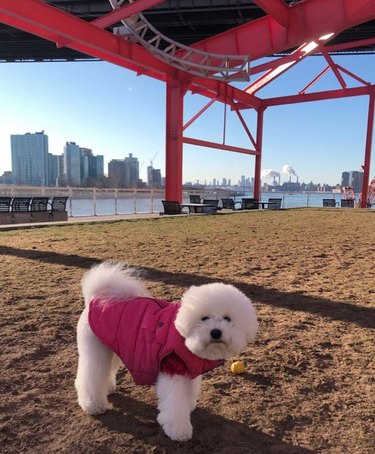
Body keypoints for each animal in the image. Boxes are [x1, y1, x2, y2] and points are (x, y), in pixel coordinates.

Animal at [76, 260, 258, 442]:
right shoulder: (173, 368)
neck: (183, 336)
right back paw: (92, 405)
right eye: (204, 318)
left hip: (111, 347)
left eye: (228, 319)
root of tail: (95, 297)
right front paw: (178, 430)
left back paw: (107, 388)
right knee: (90, 377)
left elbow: (189, 392)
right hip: (95, 350)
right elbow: (174, 404)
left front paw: (189, 406)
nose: (215, 332)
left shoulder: (188, 369)